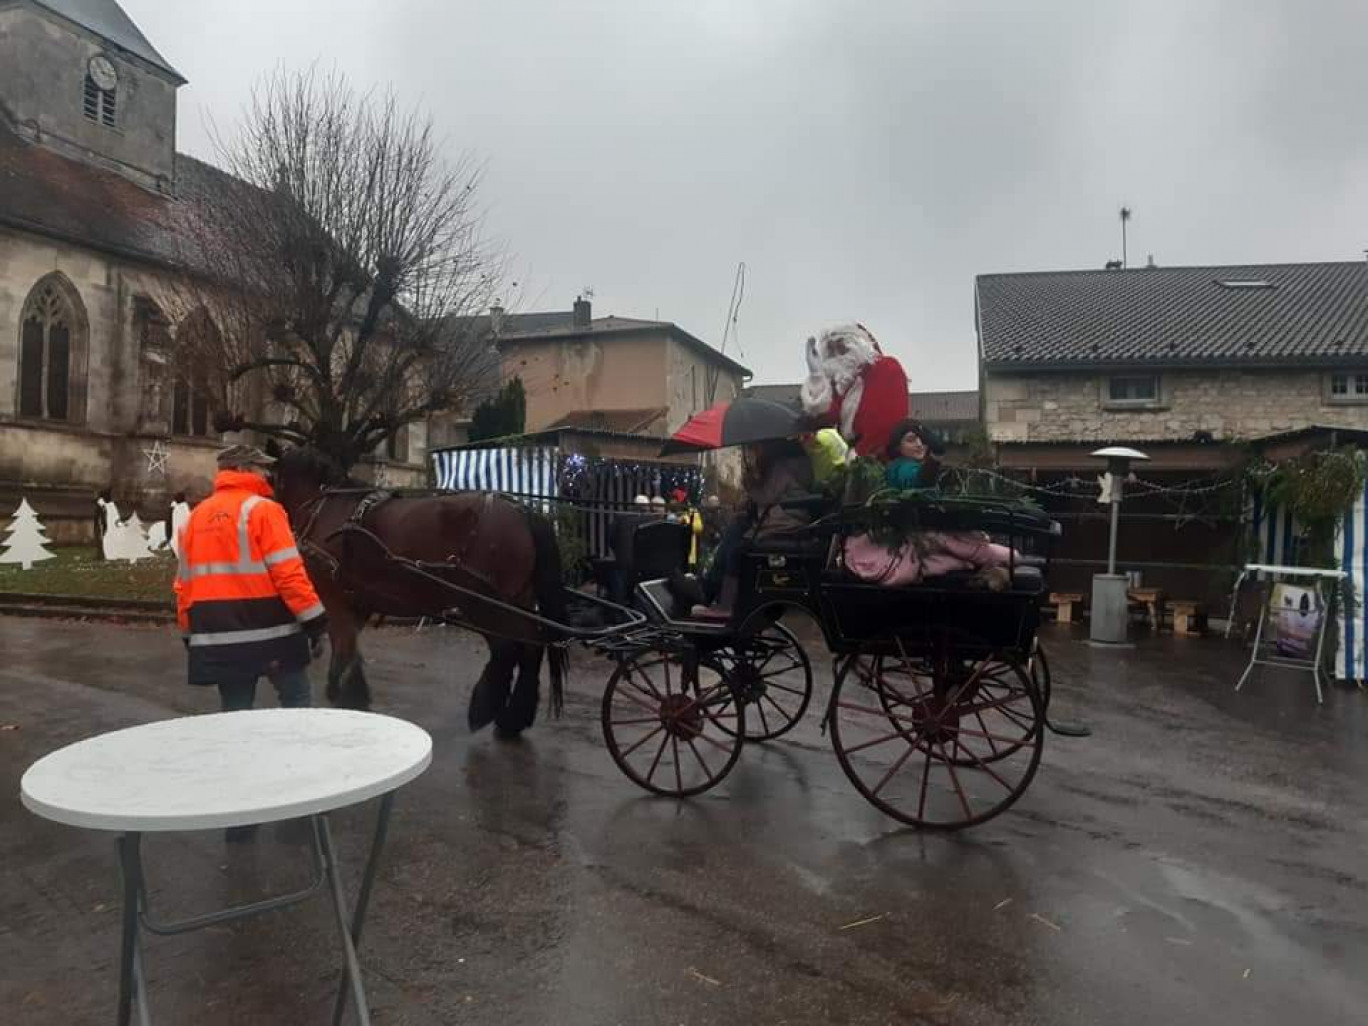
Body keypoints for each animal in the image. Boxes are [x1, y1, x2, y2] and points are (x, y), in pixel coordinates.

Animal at [269, 445, 569, 733]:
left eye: (272, 479)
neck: (327, 508)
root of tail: (522, 512)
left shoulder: (335, 598)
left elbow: (344, 647)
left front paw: (346, 698)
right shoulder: (358, 601)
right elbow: (349, 651)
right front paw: (350, 694)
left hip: (484, 604)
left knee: (507, 649)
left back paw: (484, 711)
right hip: (517, 601)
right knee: (532, 646)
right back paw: (513, 719)